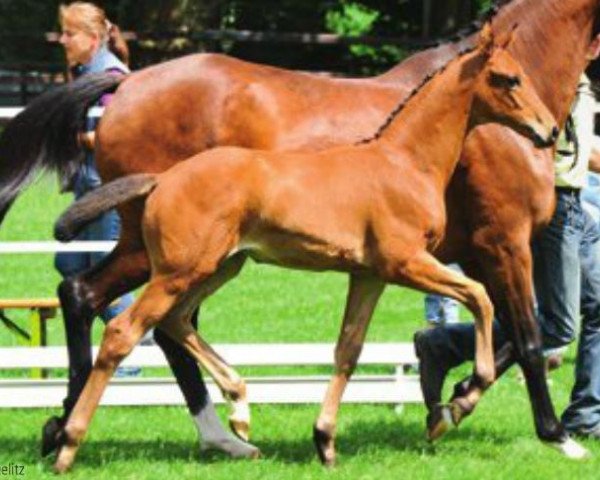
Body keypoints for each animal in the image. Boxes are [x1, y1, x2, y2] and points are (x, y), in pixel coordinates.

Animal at [0, 0, 596, 462]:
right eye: (508, 78)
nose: (547, 132)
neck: (406, 155)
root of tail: (125, 86)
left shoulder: (401, 266)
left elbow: (366, 346)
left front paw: (427, 408)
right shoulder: (486, 246)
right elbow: (521, 328)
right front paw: (543, 429)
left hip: (205, 260)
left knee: (145, 316)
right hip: (168, 258)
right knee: (111, 314)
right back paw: (86, 434)